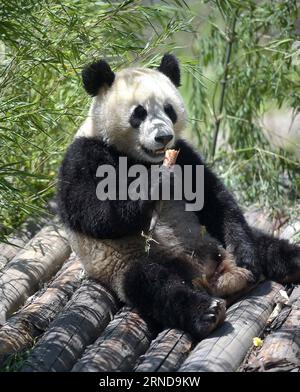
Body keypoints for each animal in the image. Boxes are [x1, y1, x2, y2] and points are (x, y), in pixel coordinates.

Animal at [56, 55, 300, 340]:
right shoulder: (83, 155)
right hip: (129, 262)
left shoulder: (185, 154)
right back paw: (206, 313)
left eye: (169, 109)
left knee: (263, 243)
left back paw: (286, 260)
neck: (142, 159)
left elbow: (215, 200)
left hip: (211, 236)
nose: (163, 136)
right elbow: (96, 213)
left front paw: (246, 255)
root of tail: (213, 274)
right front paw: (156, 183)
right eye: (139, 113)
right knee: (153, 285)